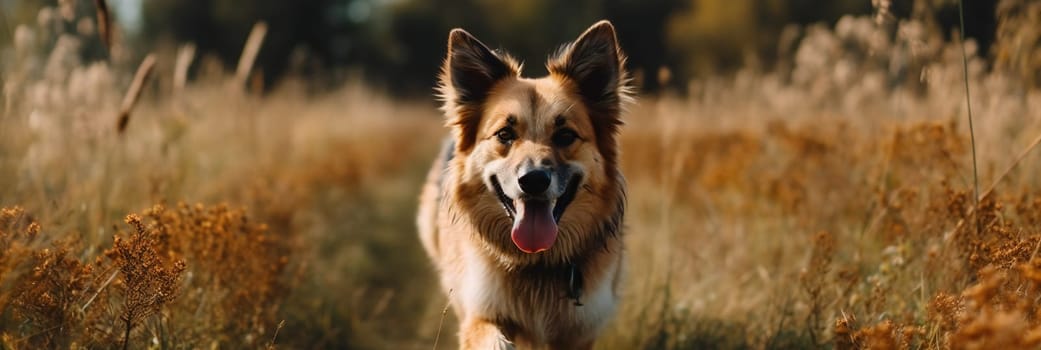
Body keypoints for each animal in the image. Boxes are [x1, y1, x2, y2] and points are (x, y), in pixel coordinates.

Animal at [416, 20, 628, 347]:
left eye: (565, 136)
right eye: (504, 134)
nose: (533, 180)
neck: (535, 263)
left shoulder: (579, 333)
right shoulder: (480, 315)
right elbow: (493, 338)